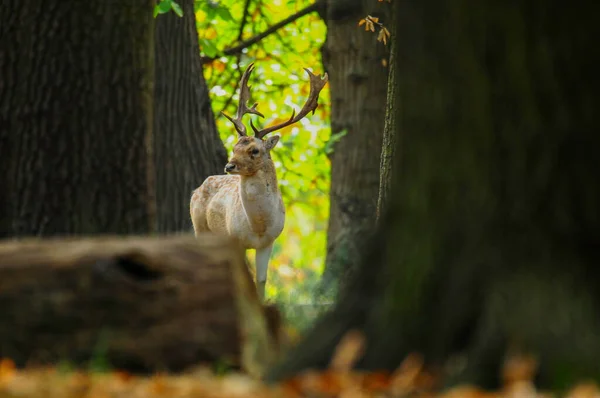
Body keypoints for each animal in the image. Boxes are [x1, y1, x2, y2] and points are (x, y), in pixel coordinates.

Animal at [190, 62, 328, 300]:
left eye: (254, 150)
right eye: (234, 147)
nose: (229, 166)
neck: (258, 226)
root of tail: (197, 188)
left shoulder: (269, 242)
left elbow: (261, 282)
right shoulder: (236, 240)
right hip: (199, 226)